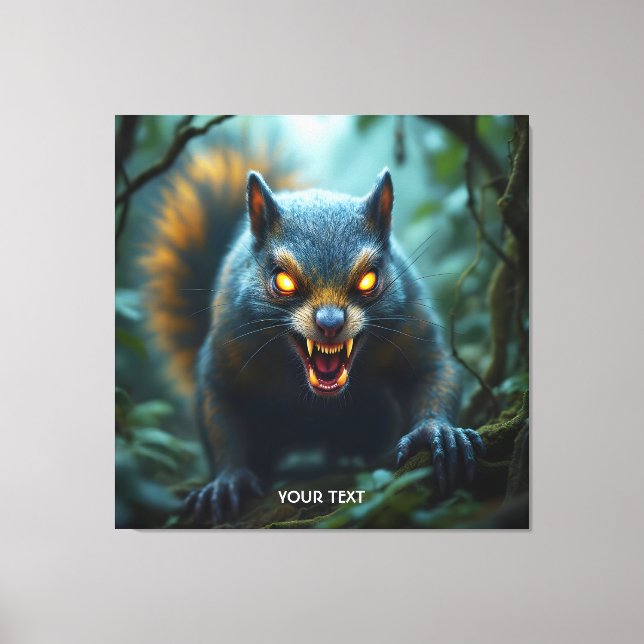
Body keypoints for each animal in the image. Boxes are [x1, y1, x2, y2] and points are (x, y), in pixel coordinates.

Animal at [140, 145, 484, 525]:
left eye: (370, 278)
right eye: (282, 280)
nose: (330, 322)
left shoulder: (411, 326)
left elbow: (433, 371)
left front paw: (438, 432)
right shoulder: (229, 344)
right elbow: (220, 406)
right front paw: (227, 480)